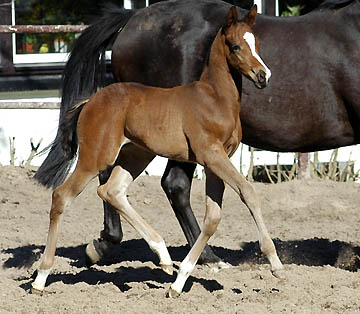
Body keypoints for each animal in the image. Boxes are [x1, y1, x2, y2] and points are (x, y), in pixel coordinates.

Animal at [32, 6, 282, 298]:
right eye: (235, 46)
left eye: (256, 43)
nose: (263, 76)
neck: (215, 98)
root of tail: (91, 100)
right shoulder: (212, 155)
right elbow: (248, 192)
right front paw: (275, 263)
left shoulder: (217, 161)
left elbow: (213, 217)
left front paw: (180, 280)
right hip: (95, 157)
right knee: (62, 196)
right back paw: (40, 278)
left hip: (136, 155)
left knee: (111, 191)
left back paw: (162, 255)